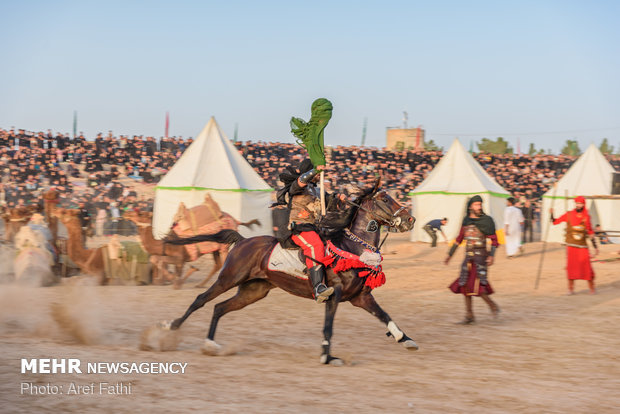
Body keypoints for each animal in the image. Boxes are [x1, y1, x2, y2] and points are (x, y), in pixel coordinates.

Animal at [163, 181, 416, 366]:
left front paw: (405, 339)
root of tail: (243, 240)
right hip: (229, 278)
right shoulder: (333, 296)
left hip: (253, 291)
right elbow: (328, 326)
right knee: (201, 300)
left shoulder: (360, 297)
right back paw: (171, 327)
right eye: (385, 199)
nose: (410, 219)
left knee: (219, 308)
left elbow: (385, 316)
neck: (352, 249)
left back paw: (210, 344)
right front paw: (327, 356)